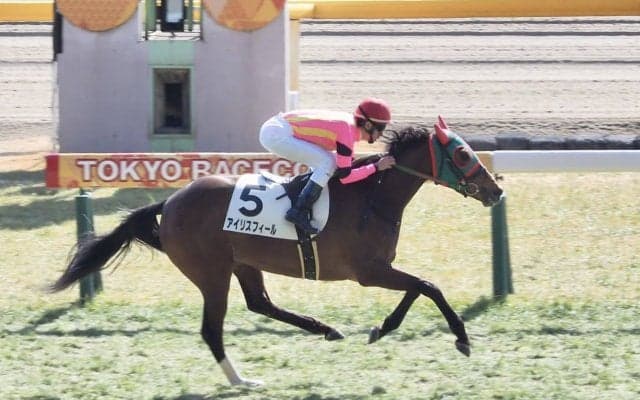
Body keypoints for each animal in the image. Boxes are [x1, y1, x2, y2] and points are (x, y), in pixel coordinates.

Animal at [51, 116, 503, 386]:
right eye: (462, 153)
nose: (496, 191)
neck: (373, 196)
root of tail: (171, 201)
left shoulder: (380, 268)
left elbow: (418, 287)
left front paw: (382, 327)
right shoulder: (368, 271)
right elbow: (429, 286)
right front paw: (461, 338)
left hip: (244, 263)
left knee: (260, 303)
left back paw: (325, 329)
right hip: (211, 273)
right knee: (213, 329)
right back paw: (241, 381)